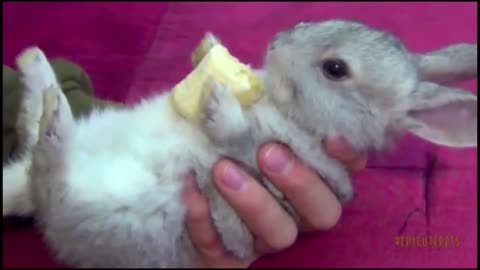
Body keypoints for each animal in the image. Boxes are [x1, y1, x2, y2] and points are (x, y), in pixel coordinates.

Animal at [2, 19, 476, 268]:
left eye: (336, 69)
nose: (277, 41)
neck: (291, 113)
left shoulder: (268, 158)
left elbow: (239, 136)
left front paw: (218, 102)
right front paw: (210, 52)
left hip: (94, 204)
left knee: (49, 166)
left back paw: (50, 103)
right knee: (32, 142)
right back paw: (37, 68)